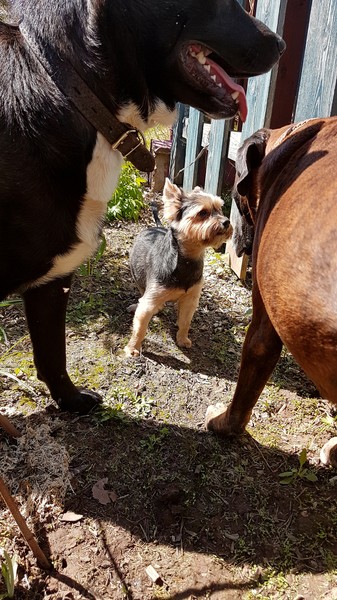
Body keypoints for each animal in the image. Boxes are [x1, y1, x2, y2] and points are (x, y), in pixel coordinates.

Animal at [0, 0, 284, 412]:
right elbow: (139, 324)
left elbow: (55, 354)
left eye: (220, 207)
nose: (281, 44)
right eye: (202, 214)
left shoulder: (56, 283)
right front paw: (133, 349)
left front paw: (182, 340)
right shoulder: (134, 296)